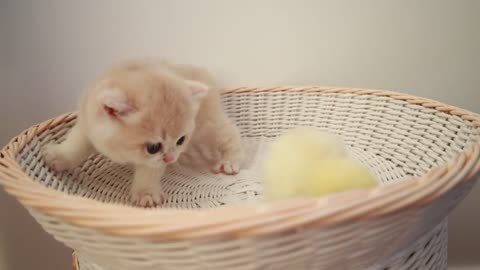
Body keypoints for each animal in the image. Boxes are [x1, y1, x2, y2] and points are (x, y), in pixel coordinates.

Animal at [41, 59, 244, 207]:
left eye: (181, 140)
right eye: (153, 147)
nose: (170, 158)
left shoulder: (153, 162)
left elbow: (148, 172)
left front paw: (146, 194)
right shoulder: (87, 125)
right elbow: (75, 144)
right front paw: (58, 157)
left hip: (206, 125)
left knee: (230, 133)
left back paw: (229, 161)